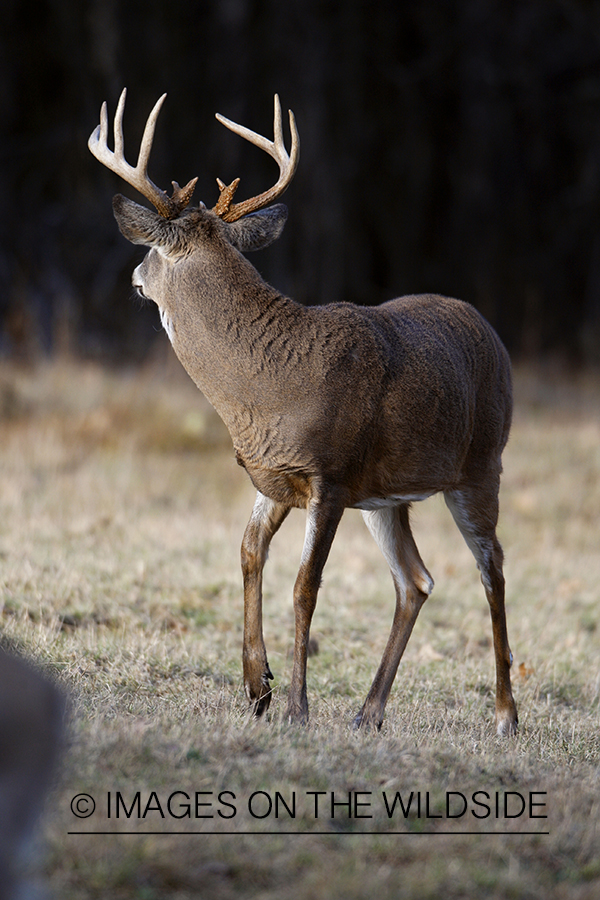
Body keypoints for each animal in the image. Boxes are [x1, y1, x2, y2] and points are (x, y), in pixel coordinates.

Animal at [86, 89, 516, 740]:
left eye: (152, 251)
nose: (134, 277)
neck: (266, 386)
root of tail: (493, 334)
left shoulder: (329, 477)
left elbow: (305, 587)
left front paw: (295, 707)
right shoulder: (275, 476)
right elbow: (247, 552)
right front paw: (255, 686)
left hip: (480, 467)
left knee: (493, 570)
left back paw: (505, 716)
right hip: (386, 497)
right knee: (415, 580)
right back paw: (369, 713)